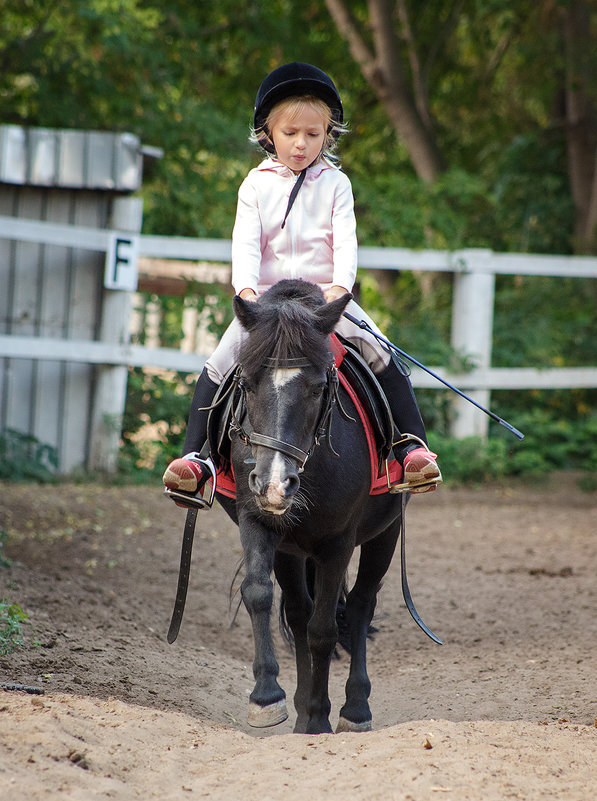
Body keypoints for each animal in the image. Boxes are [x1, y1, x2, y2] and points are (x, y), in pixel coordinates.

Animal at [210, 278, 414, 736]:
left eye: (320, 387)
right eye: (247, 383)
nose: (274, 483)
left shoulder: (338, 542)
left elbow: (324, 629)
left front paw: (320, 717)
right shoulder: (257, 521)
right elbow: (259, 594)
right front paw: (269, 697)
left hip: (385, 534)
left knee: (359, 606)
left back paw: (354, 709)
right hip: (290, 549)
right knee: (299, 612)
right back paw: (304, 707)